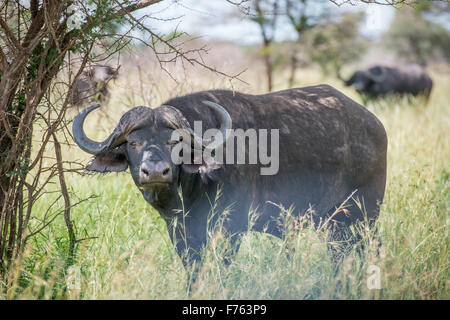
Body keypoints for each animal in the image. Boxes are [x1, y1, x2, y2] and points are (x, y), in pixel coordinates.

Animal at [72, 84, 388, 268]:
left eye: (175, 142)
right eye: (134, 143)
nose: (155, 172)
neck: (193, 189)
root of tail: (374, 124)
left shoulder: (230, 229)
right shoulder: (180, 232)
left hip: (362, 215)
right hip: (333, 222)